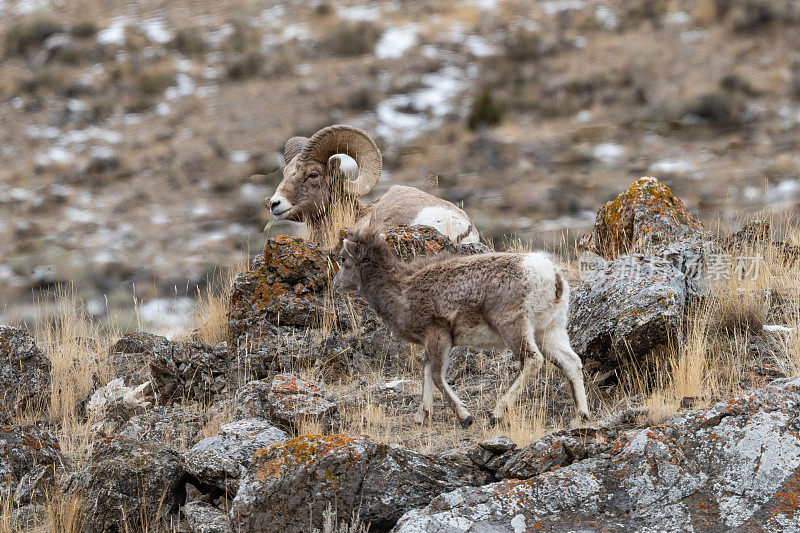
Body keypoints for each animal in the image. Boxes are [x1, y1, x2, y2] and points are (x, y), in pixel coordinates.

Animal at [330, 229, 588, 428]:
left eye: (343, 259)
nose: (335, 284)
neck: (401, 291)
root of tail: (553, 277)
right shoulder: (433, 341)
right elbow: (427, 370)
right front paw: (421, 416)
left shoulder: (438, 334)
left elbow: (436, 375)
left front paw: (465, 417)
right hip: (549, 331)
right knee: (571, 363)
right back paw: (581, 416)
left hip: (513, 327)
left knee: (532, 360)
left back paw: (496, 414)